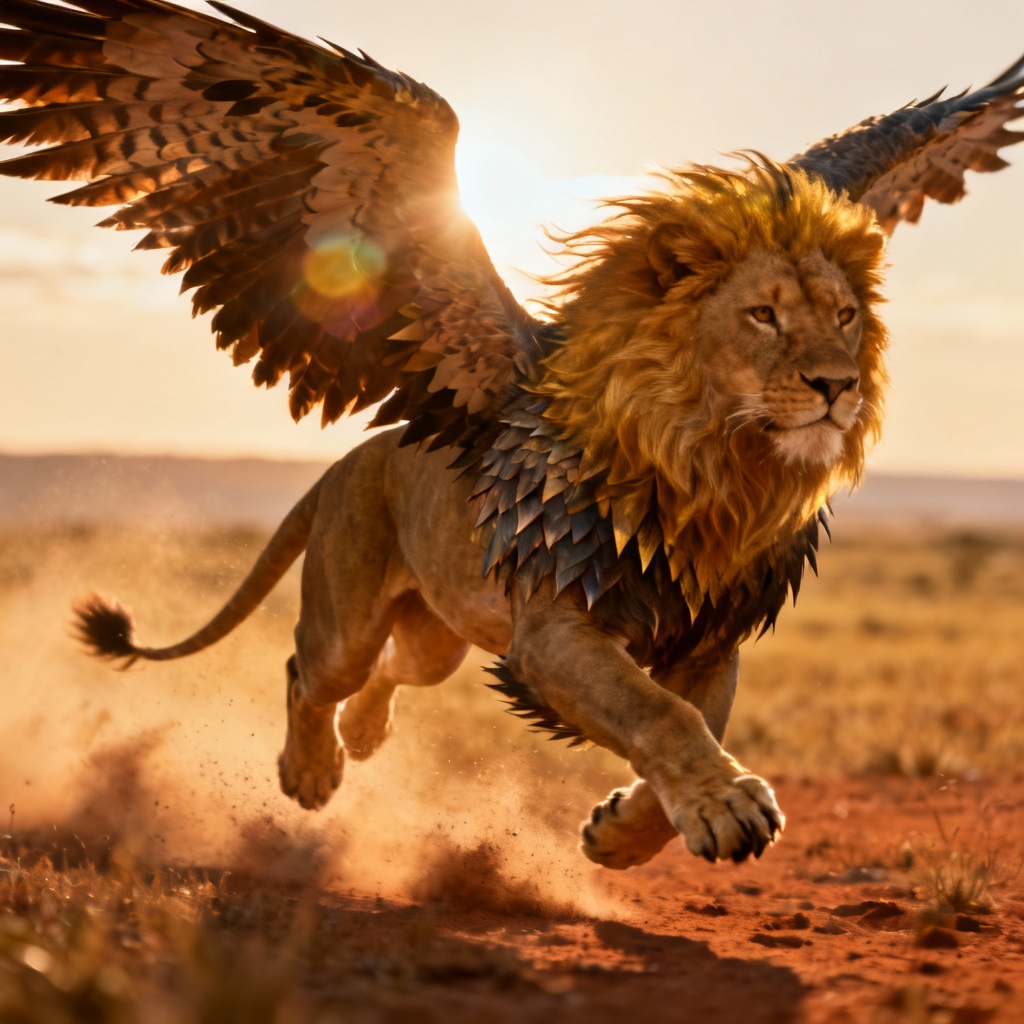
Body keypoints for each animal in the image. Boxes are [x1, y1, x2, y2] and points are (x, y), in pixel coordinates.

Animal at [3, 0, 1021, 868]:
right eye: (764, 316)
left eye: (845, 315)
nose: (838, 386)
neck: (717, 469)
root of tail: (354, 458)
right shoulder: (555, 624)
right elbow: (659, 716)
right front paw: (722, 806)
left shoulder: (709, 636)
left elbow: (695, 722)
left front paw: (626, 834)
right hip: (352, 615)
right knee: (308, 670)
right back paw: (312, 770)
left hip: (442, 635)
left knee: (392, 676)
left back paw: (364, 737)